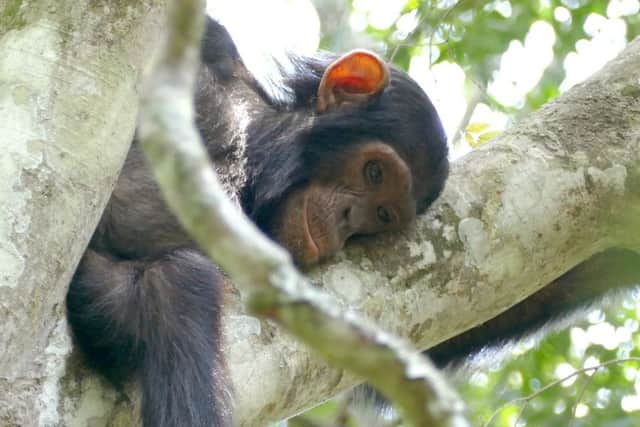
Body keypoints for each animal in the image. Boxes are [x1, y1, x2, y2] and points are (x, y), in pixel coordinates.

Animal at [63, 15, 444, 426]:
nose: (347, 220)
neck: (252, 153)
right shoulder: (214, 51)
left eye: (382, 214)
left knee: (180, 285)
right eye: (374, 172)